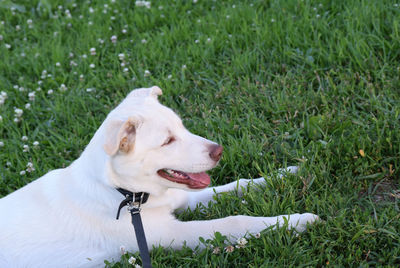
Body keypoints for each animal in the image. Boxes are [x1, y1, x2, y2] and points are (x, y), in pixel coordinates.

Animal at [0, 87, 318, 266]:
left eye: (182, 126)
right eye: (167, 141)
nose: (219, 151)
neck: (124, 193)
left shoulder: (179, 199)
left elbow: (237, 185)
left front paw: (284, 174)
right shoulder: (172, 234)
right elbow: (233, 221)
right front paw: (297, 220)